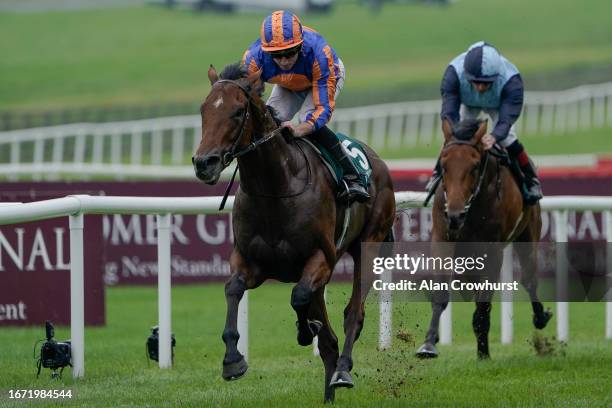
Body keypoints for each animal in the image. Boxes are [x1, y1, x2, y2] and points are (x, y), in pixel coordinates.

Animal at [191, 63, 396, 402]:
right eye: (203, 109)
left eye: (237, 112)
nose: (203, 163)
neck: (275, 188)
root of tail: (377, 160)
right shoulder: (250, 262)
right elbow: (233, 289)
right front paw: (233, 361)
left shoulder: (321, 258)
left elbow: (298, 295)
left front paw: (303, 330)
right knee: (329, 342)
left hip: (370, 245)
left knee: (353, 312)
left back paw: (342, 371)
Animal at [414, 118, 552, 360]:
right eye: (444, 165)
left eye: (475, 166)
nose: (455, 215)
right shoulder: (442, 240)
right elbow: (441, 294)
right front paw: (429, 343)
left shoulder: (493, 251)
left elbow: (483, 305)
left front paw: (483, 354)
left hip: (529, 233)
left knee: (529, 279)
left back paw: (540, 317)